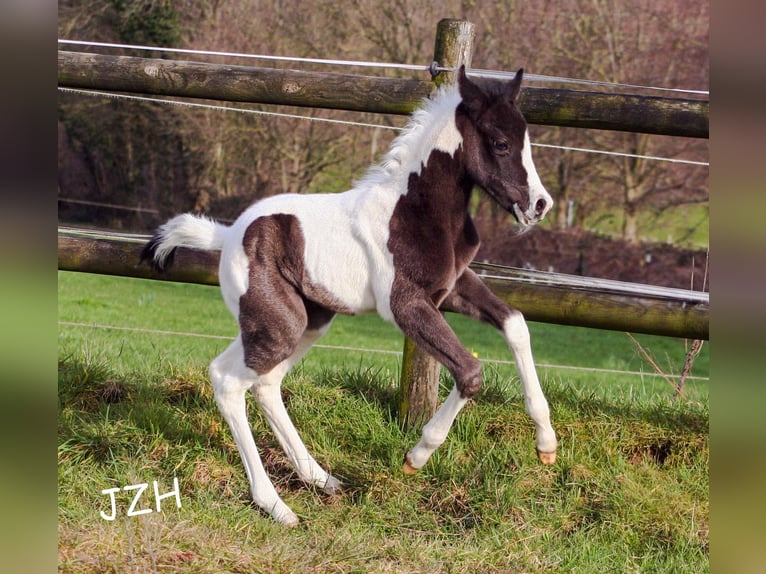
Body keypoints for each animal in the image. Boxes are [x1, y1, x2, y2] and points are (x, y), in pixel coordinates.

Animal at [142, 65, 558, 526]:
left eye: (526, 140)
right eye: (501, 143)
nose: (540, 204)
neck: (415, 209)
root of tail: (229, 234)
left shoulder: (452, 287)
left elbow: (515, 324)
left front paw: (546, 444)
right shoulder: (406, 305)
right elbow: (470, 372)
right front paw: (417, 455)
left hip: (299, 322)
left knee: (260, 381)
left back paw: (321, 479)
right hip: (277, 326)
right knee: (231, 381)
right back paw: (276, 505)